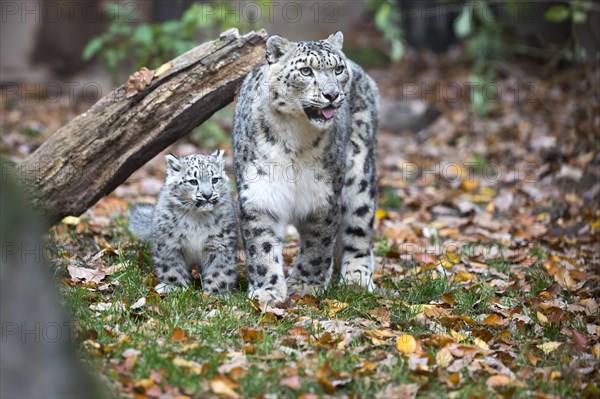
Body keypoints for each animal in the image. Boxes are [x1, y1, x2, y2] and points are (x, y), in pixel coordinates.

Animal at [128, 152, 237, 296]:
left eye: (215, 179)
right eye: (193, 181)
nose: (207, 195)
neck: (198, 219)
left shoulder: (219, 244)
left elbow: (219, 271)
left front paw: (214, 293)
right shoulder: (170, 244)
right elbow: (172, 269)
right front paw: (175, 288)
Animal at [232, 32, 378, 306]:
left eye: (338, 69)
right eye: (306, 71)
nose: (332, 94)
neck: (295, 138)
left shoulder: (324, 195)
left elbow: (318, 245)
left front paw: (305, 285)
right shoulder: (259, 193)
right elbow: (262, 246)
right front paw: (268, 290)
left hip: (360, 175)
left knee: (359, 230)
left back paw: (357, 278)